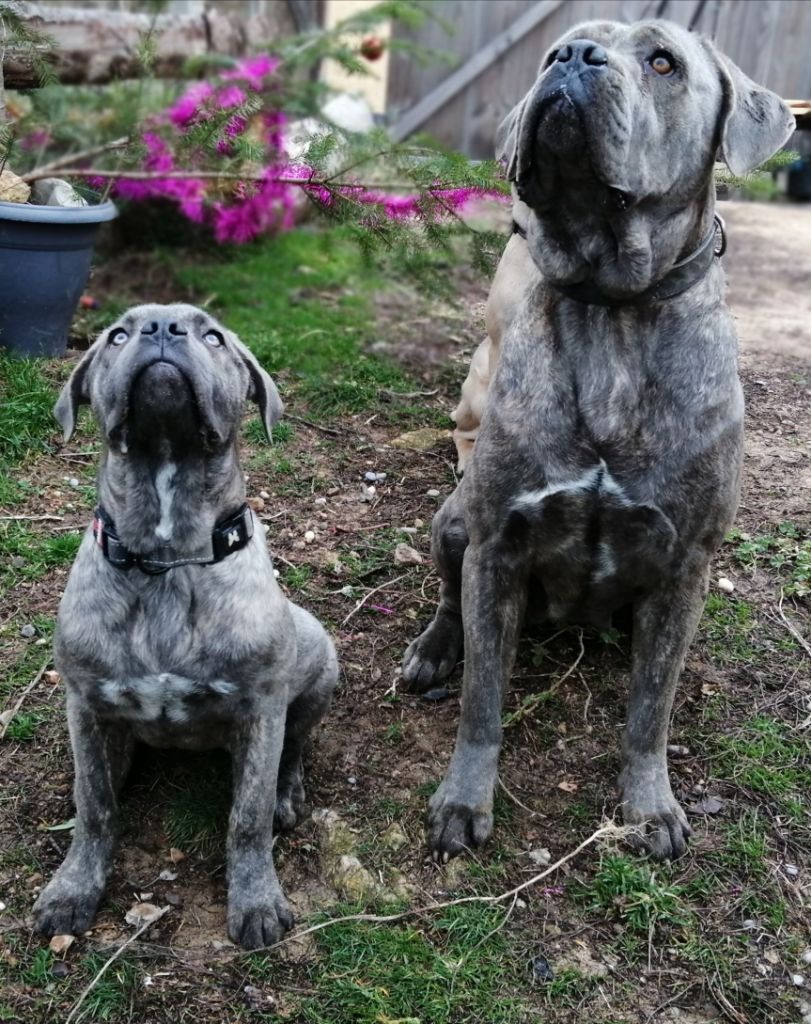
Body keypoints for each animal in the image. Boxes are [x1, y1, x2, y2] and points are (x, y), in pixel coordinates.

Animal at [33, 305, 337, 950]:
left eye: (213, 336)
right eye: (117, 335)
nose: (161, 327)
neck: (168, 557)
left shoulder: (260, 707)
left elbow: (246, 817)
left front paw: (257, 901)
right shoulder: (85, 704)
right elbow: (93, 804)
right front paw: (73, 889)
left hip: (320, 661)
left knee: (294, 745)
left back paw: (287, 792)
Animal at [401, 19, 794, 860]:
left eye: (662, 63)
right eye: (560, 46)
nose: (573, 59)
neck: (614, 307)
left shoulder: (682, 567)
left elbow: (650, 709)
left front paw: (649, 806)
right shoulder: (497, 544)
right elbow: (482, 698)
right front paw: (463, 798)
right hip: (453, 522)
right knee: (450, 599)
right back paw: (432, 649)